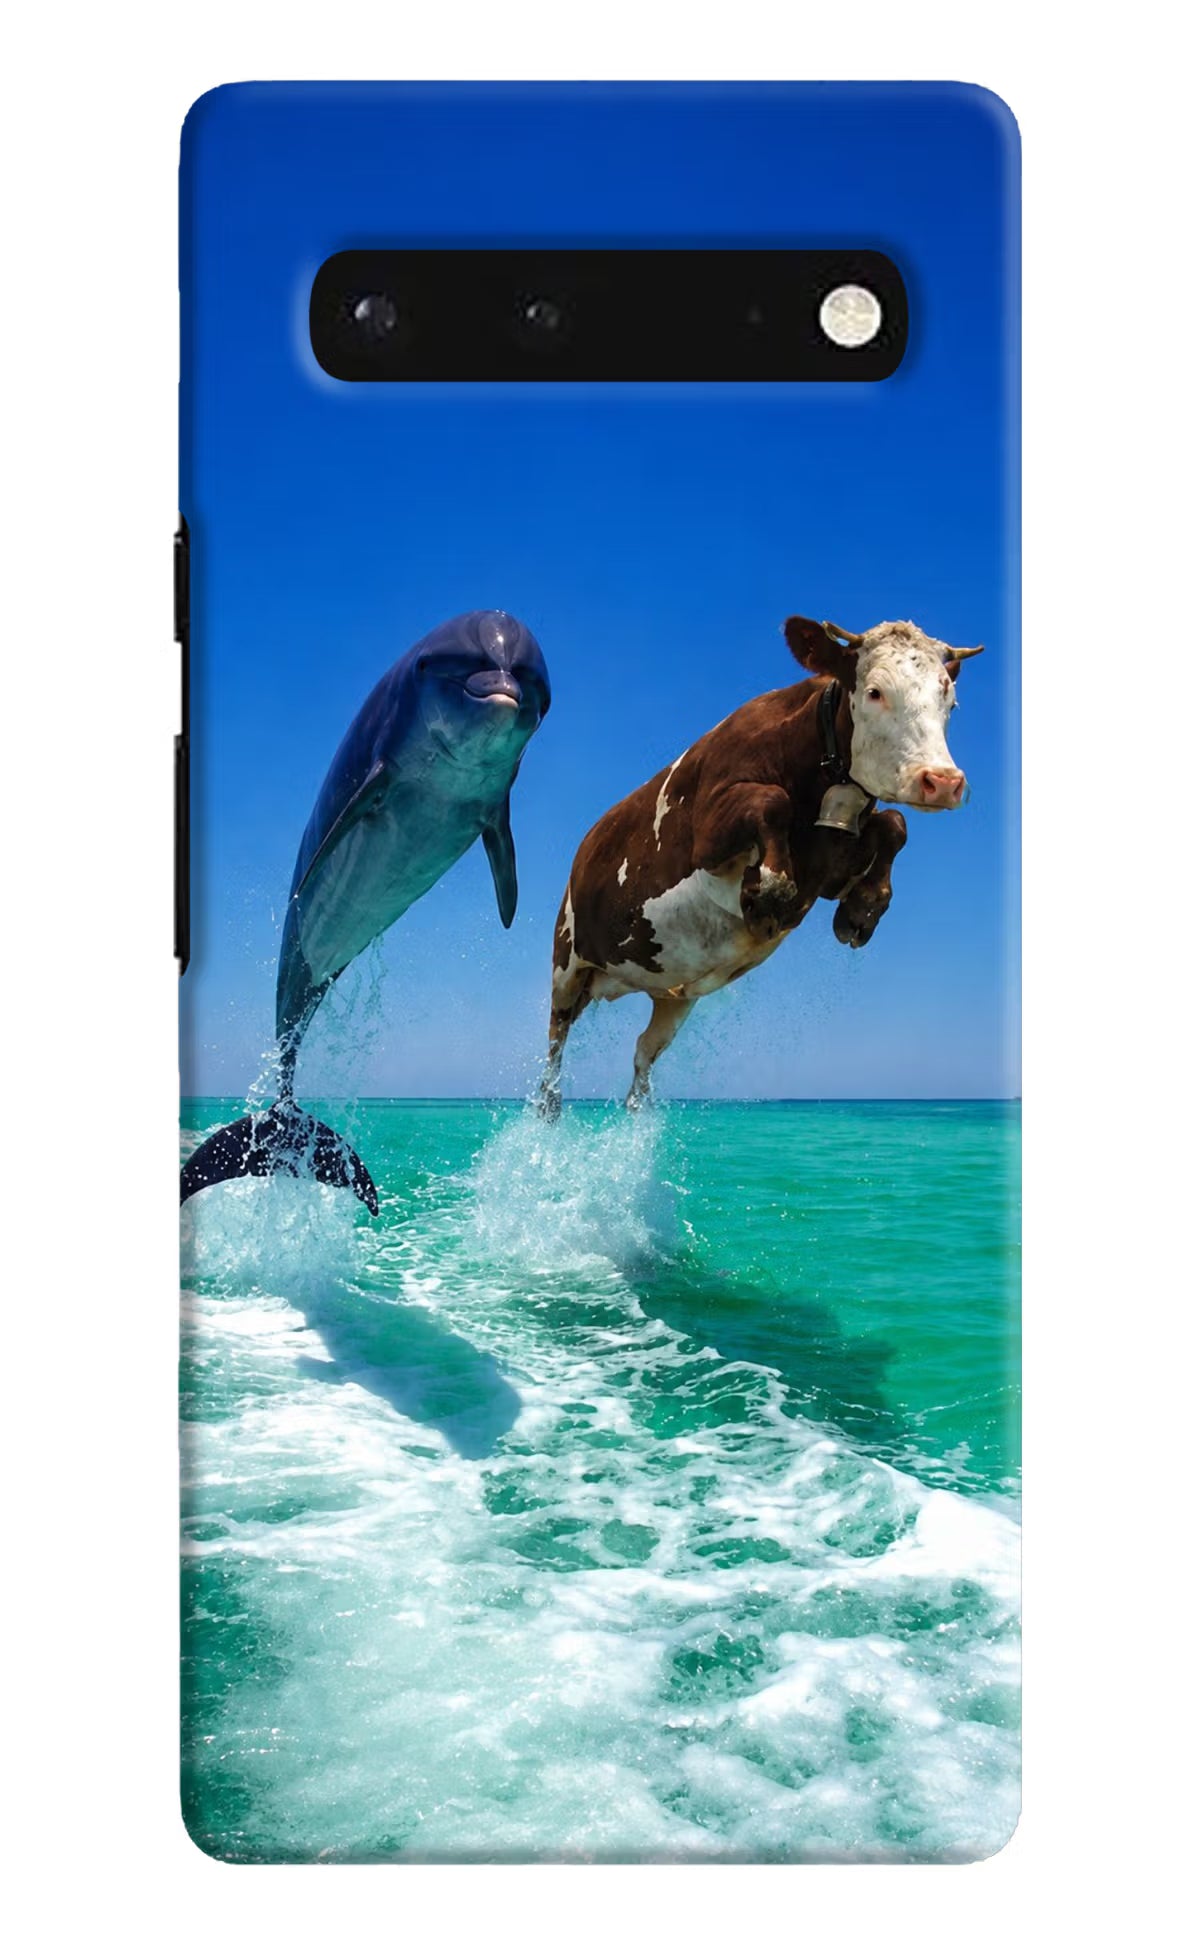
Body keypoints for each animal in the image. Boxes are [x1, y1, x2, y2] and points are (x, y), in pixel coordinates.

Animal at [536, 614, 983, 1116]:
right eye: (874, 691)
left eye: (950, 699)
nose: (942, 782)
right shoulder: (708, 834)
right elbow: (772, 802)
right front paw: (767, 892)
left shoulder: (829, 867)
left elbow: (894, 823)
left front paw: (862, 909)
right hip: (566, 962)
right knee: (554, 1042)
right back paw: (549, 1106)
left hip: (673, 995)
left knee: (643, 1053)